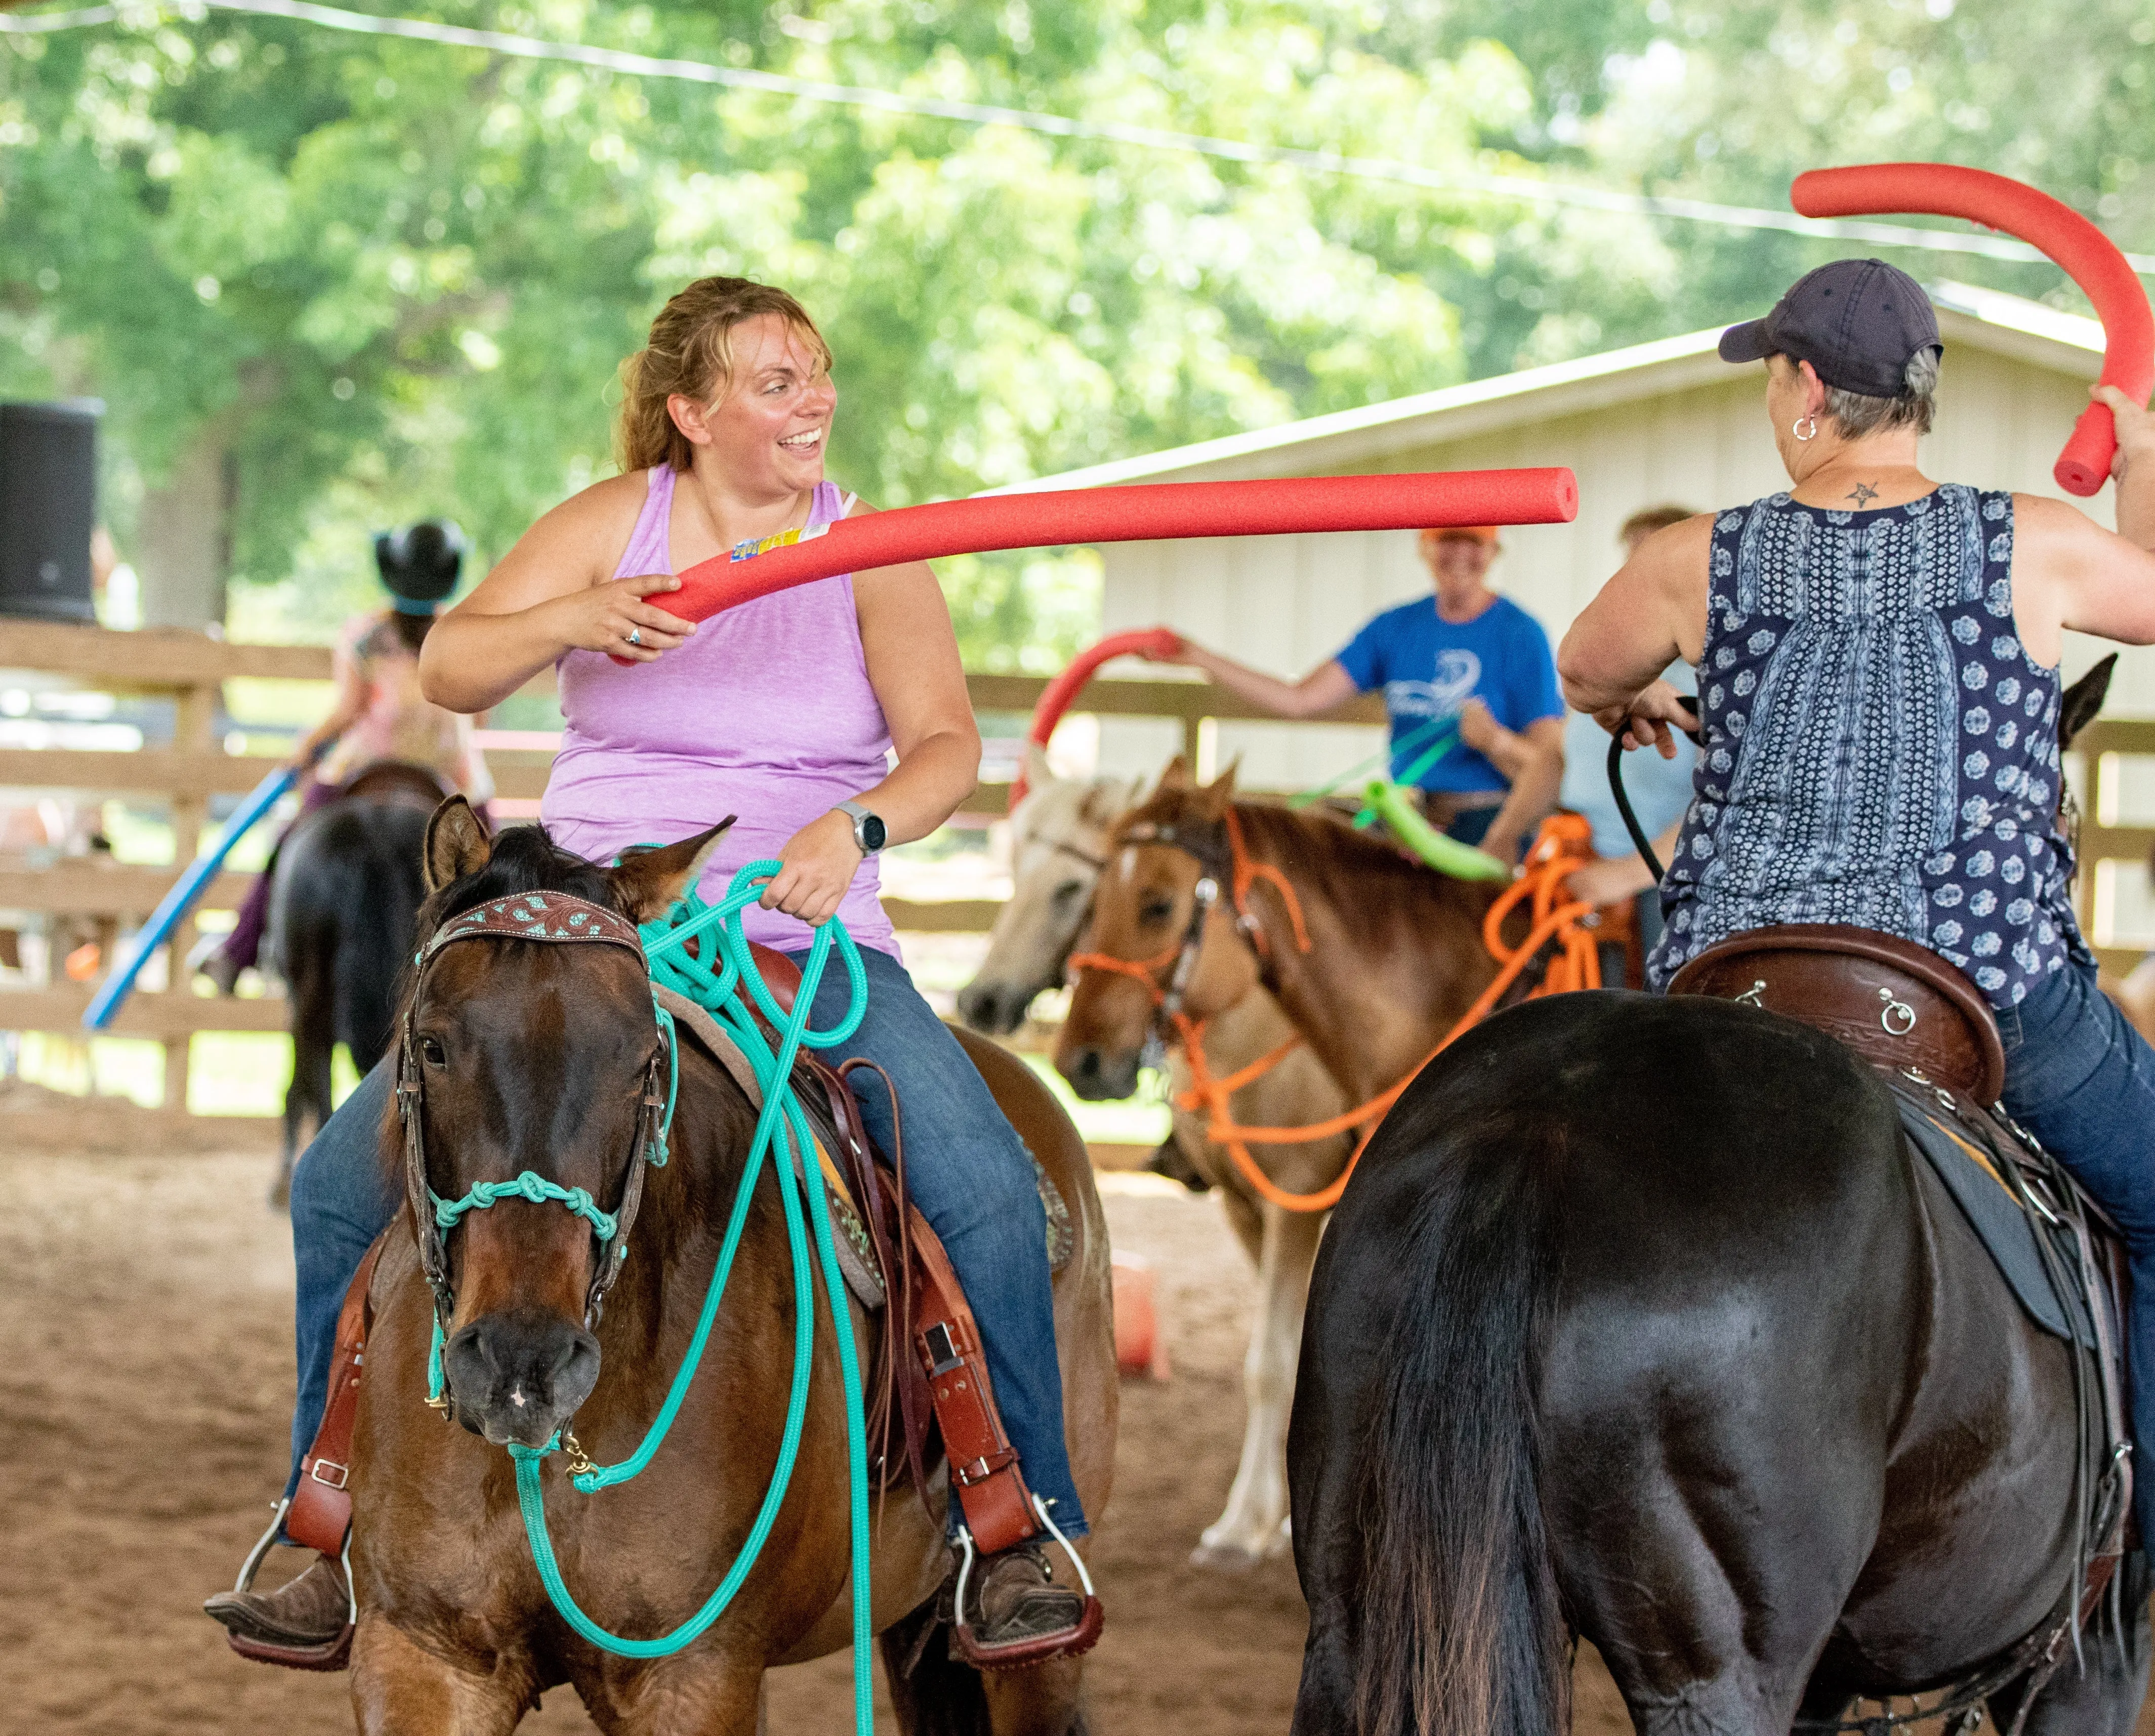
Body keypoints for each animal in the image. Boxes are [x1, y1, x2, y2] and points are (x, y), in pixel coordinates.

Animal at [345, 814, 1121, 1736]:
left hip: (1033, 1657)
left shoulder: (697, 1673)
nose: (521, 1361)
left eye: (643, 1058)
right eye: (431, 1044)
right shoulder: (424, 1654)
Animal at [961, 754, 1344, 1568]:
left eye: (1071, 887)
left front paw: (1250, 1523)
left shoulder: (1296, 1198)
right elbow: (1285, 1354)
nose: (980, 1001)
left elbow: (1274, 1361)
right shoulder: (1243, 1203)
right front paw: (1266, 1517)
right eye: (1014, 868)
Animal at [1068, 672, 2146, 1731]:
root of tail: (1531, 1138)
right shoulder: (2087, 1657)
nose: (1083, 1055)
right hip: (1713, 1669)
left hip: (1360, 1613)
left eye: (1155, 904)